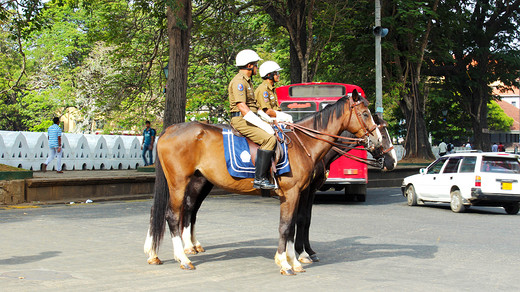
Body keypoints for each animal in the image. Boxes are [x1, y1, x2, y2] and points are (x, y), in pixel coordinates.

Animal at [144, 90, 384, 274]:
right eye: (365, 113)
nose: (379, 144)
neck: (303, 143)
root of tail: (169, 130)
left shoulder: (300, 193)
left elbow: (293, 224)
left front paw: (294, 260)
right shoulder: (293, 193)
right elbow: (287, 226)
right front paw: (287, 262)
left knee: (173, 211)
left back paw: (160, 253)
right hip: (179, 183)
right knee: (173, 215)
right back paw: (183, 257)